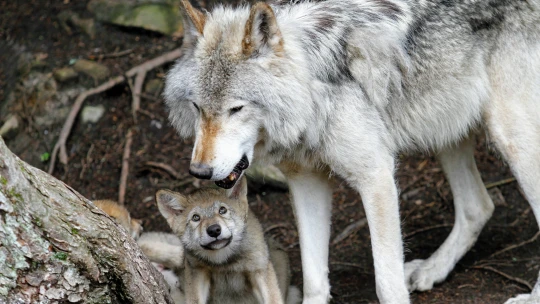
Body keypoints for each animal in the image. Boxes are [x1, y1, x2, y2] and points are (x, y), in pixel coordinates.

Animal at [152, 177, 302, 302]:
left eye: (222, 210)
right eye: (196, 218)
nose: (214, 230)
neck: (224, 262)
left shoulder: (259, 271)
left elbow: (273, 299)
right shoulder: (197, 272)